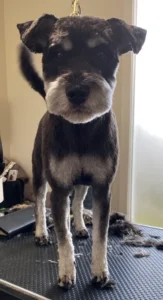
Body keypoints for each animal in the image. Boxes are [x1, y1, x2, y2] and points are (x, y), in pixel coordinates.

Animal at [16, 13, 146, 288]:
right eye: (55, 53)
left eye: (102, 53)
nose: (76, 92)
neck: (80, 130)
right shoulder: (58, 188)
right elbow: (63, 237)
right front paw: (66, 273)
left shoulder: (101, 187)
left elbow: (101, 235)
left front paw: (100, 272)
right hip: (40, 173)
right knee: (40, 203)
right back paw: (41, 233)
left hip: (83, 182)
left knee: (76, 202)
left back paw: (79, 227)